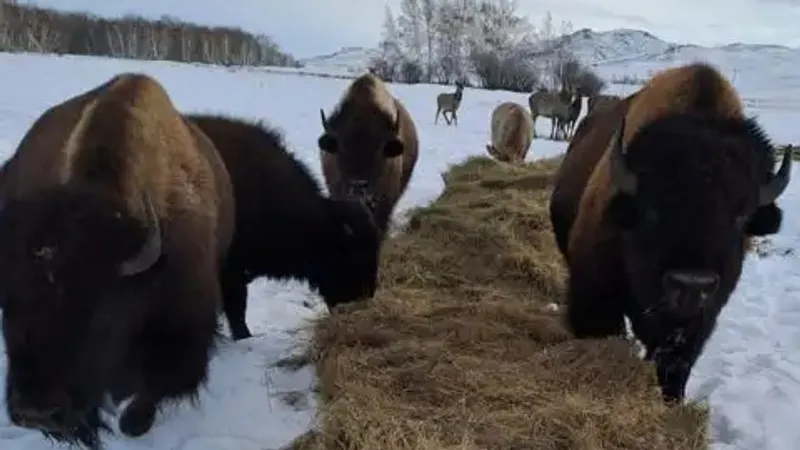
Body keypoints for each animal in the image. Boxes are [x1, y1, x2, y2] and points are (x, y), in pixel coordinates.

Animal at [552, 62, 792, 400]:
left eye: (740, 216)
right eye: (651, 211)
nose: (692, 284)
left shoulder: (697, 324)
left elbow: (674, 365)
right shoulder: (594, 296)